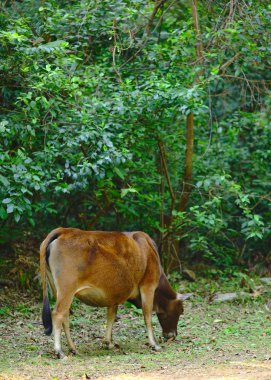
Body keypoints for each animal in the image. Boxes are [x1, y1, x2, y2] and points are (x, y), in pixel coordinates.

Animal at [40, 227, 185, 358]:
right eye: (180, 310)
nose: (173, 335)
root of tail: (63, 230)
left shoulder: (114, 296)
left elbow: (111, 316)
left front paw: (108, 342)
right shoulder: (148, 286)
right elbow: (147, 315)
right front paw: (154, 344)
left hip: (58, 290)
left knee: (65, 316)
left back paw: (73, 349)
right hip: (67, 289)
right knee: (58, 314)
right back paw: (59, 351)